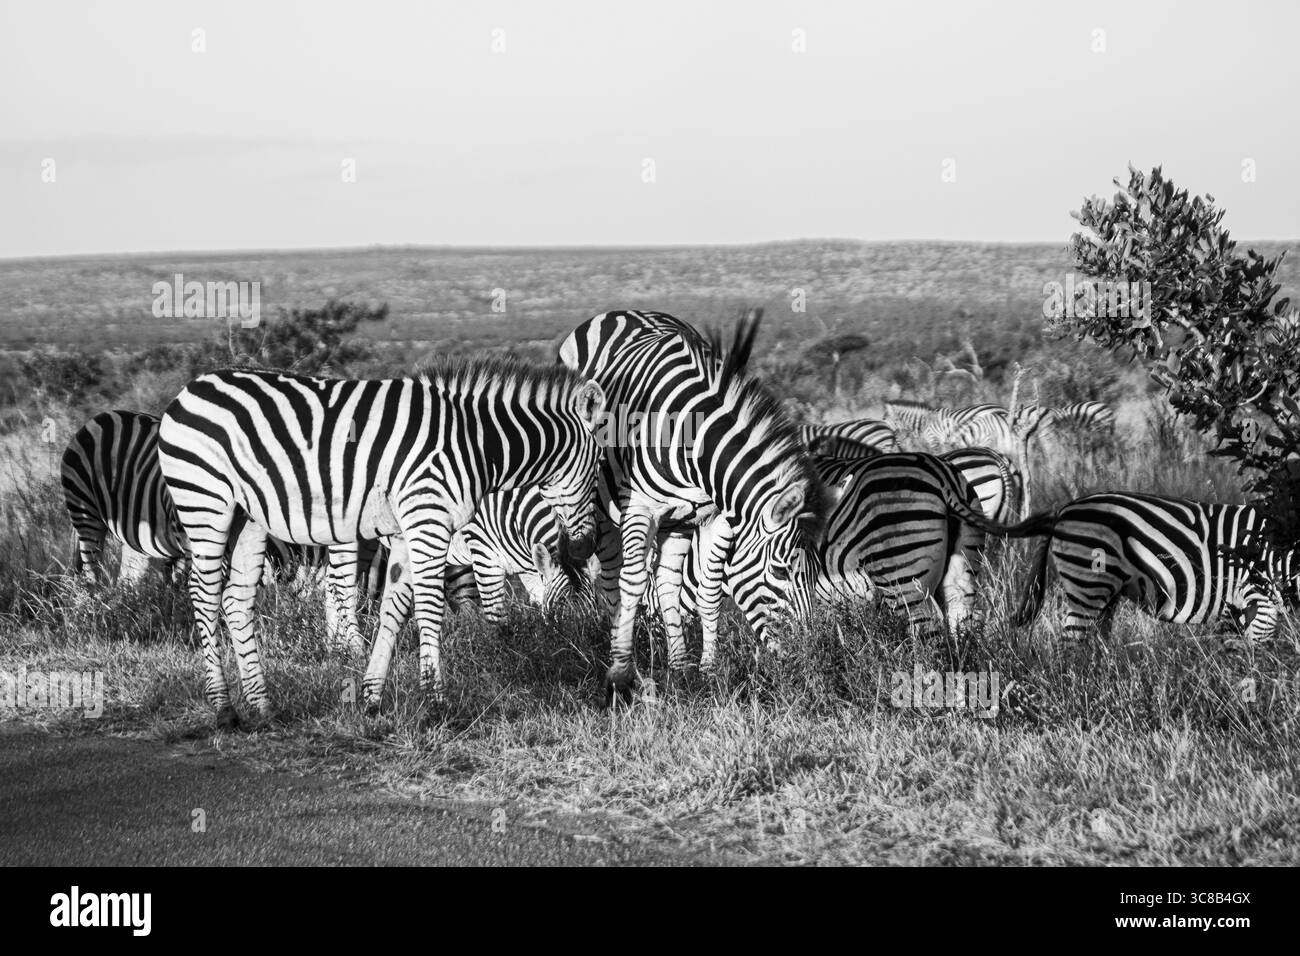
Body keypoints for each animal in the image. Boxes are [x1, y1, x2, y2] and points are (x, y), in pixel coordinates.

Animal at [157, 360, 606, 727]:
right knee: (204, 595)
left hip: (248, 517)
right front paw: (436, 703)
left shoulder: (406, 532)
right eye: (602, 463)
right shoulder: (428, 519)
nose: (583, 549)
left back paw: (262, 705)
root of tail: (191, 387)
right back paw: (224, 709)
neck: (476, 444)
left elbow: (394, 610)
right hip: (206, 501)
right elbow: (430, 609)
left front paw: (372, 698)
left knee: (235, 602)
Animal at [558, 309, 826, 697]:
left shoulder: (715, 517)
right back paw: (620, 659)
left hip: (677, 522)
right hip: (602, 510)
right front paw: (620, 674)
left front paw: (709, 671)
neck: (693, 438)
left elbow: (708, 591)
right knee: (611, 582)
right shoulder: (641, 509)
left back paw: (679, 665)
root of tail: (616, 313)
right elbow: (632, 584)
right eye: (780, 571)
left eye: (815, 570)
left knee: (667, 583)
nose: (811, 650)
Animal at [1012, 492, 1298, 643]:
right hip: (1087, 584)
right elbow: (1256, 658)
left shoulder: (1241, 606)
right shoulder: (1261, 597)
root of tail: (1062, 512)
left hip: (1104, 593)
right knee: (1072, 646)